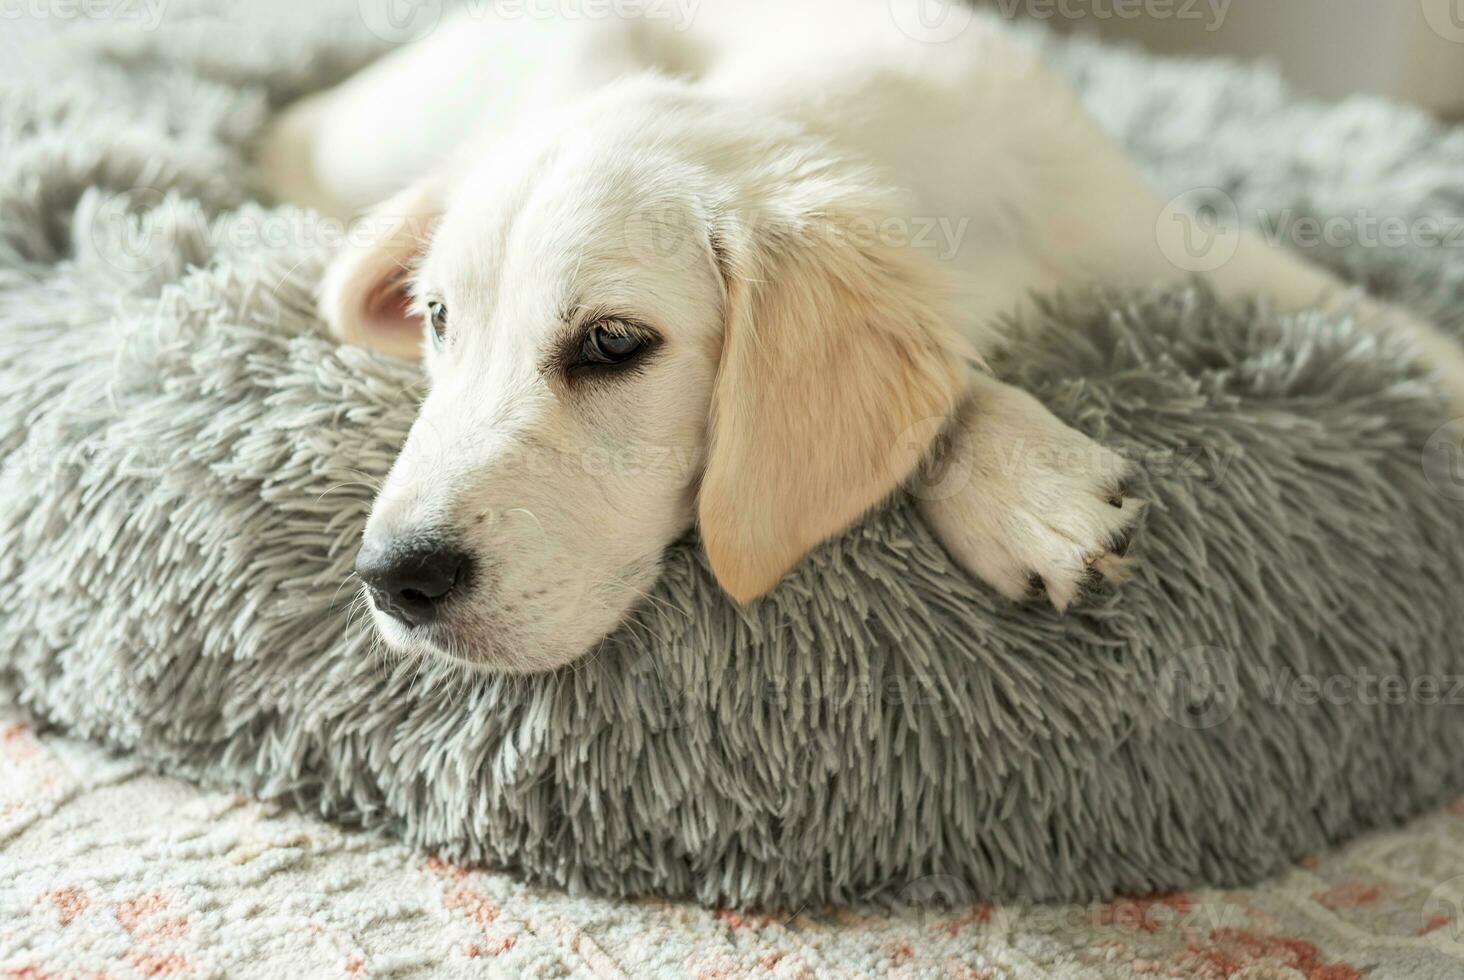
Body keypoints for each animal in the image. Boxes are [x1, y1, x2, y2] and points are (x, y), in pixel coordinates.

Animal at [257, 0, 1464, 673]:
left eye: (610, 343)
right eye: (438, 322)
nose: (391, 581)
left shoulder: (1168, 239)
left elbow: (1387, 327)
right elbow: (949, 381)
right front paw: (1029, 486)